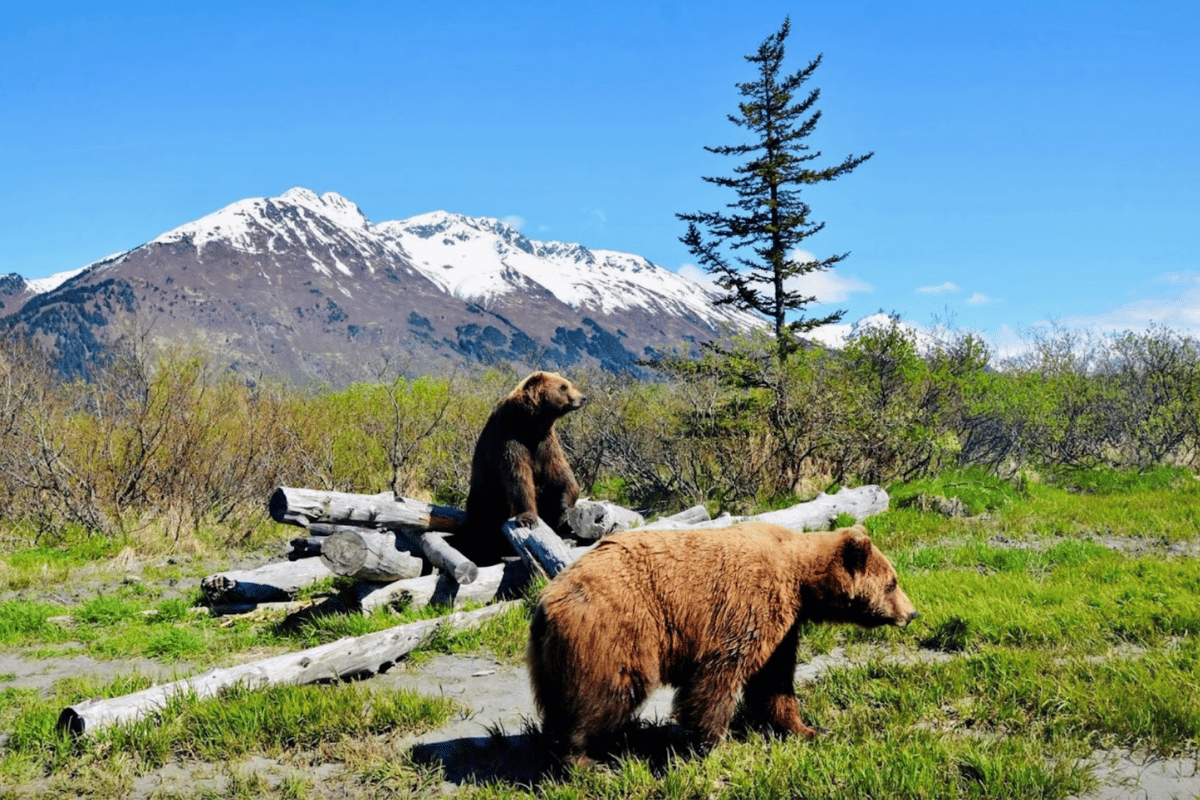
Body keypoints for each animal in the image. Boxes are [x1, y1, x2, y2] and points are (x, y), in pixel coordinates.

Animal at [456, 371, 588, 566]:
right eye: (563, 387)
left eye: (568, 383)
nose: (583, 397)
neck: (531, 423)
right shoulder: (510, 436)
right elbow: (519, 477)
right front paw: (528, 519)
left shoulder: (545, 443)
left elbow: (560, 473)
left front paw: (563, 509)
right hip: (485, 503)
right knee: (480, 530)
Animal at [528, 522, 916, 767]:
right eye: (893, 583)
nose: (911, 613)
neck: (801, 581)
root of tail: (547, 601)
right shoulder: (746, 606)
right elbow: (720, 676)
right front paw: (714, 744)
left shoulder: (783, 627)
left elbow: (774, 681)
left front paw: (807, 728)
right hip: (616, 633)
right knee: (604, 694)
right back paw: (583, 759)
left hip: (554, 658)